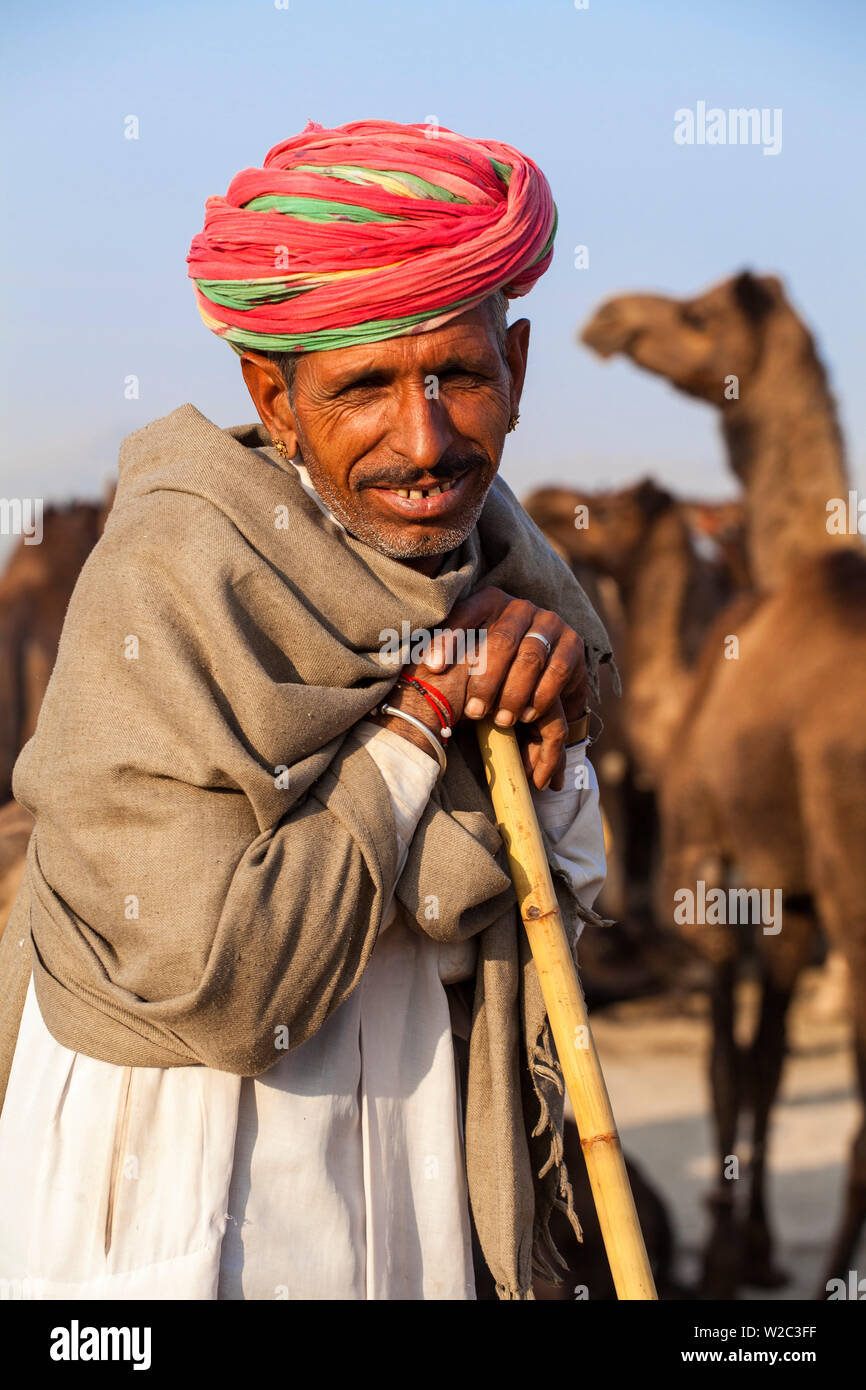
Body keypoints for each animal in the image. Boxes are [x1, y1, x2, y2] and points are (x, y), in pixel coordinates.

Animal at [576, 272, 866, 1297]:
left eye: (698, 313)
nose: (608, 318)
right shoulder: (793, 890)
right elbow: (767, 1061)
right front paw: (753, 1248)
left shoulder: (711, 865)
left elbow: (721, 1064)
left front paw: (725, 1254)